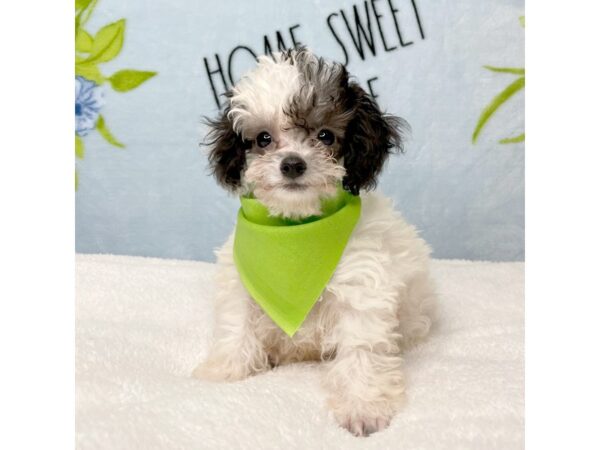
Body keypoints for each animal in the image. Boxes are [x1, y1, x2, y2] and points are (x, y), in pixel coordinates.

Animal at [195, 48, 434, 436]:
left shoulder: (361, 286)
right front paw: (226, 370)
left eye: (325, 136)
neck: (297, 226)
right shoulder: (241, 279)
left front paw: (363, 404)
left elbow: (361, 346)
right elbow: (236, 325)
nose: (293, 164)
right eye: (263, 139)